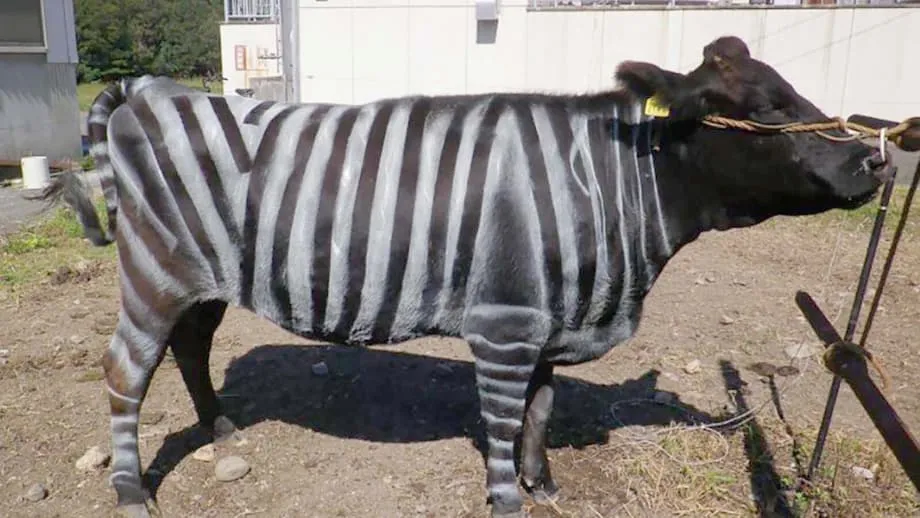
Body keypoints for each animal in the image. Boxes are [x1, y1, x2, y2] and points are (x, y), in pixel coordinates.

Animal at [40, 36, 889, 518]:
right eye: (762, 110)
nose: (875, 159)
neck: (607, 188)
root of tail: (151, 89)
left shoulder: (550, 320)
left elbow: (542, 412)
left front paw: (546, 487)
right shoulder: (506, 325)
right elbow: (506, 424)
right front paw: (509, 500)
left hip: (205, 279)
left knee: (189, 348)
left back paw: (220, 429)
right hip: (154, 273)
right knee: (125, 371)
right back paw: (131, 492)